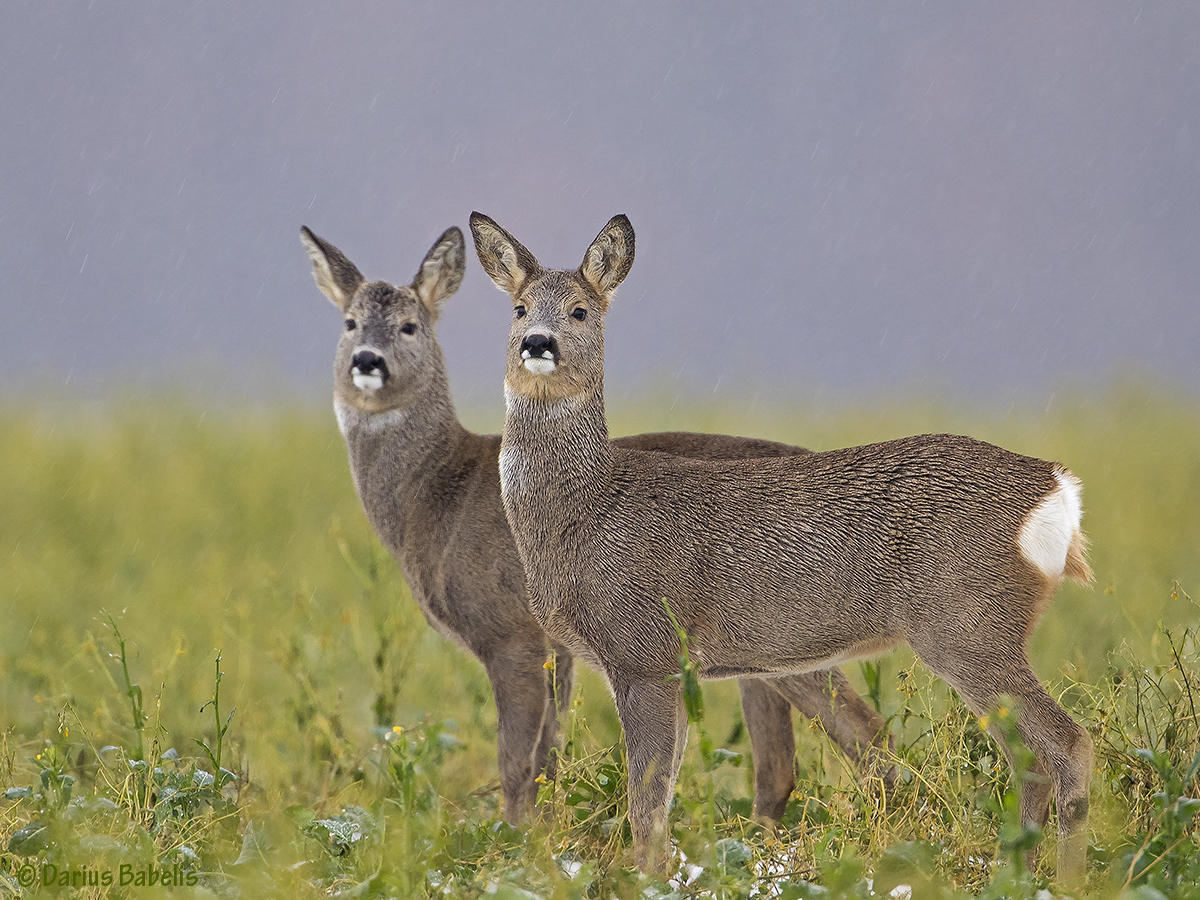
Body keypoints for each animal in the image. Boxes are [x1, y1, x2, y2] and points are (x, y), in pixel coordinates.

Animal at [304, 226, 897, 830]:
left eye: (409, 325)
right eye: (349, 322)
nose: (367, 360)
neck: (437, 493)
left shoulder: (511, 630)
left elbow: (516, 760)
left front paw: (516, 840)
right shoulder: (559, 648)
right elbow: (548, 757)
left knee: (856, 738)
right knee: (790, 759)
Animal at [470, 207, 1099, 883]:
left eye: (582, 310)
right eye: (518, 308)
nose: (538, 342)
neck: (582, 512)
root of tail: (1055, 487)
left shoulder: (645, 650)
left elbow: (646, 802)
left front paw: (647, 880)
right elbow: (659, 799)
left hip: (967, 623)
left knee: (1066, 743)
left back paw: (1067, 878)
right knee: (1027, 758)